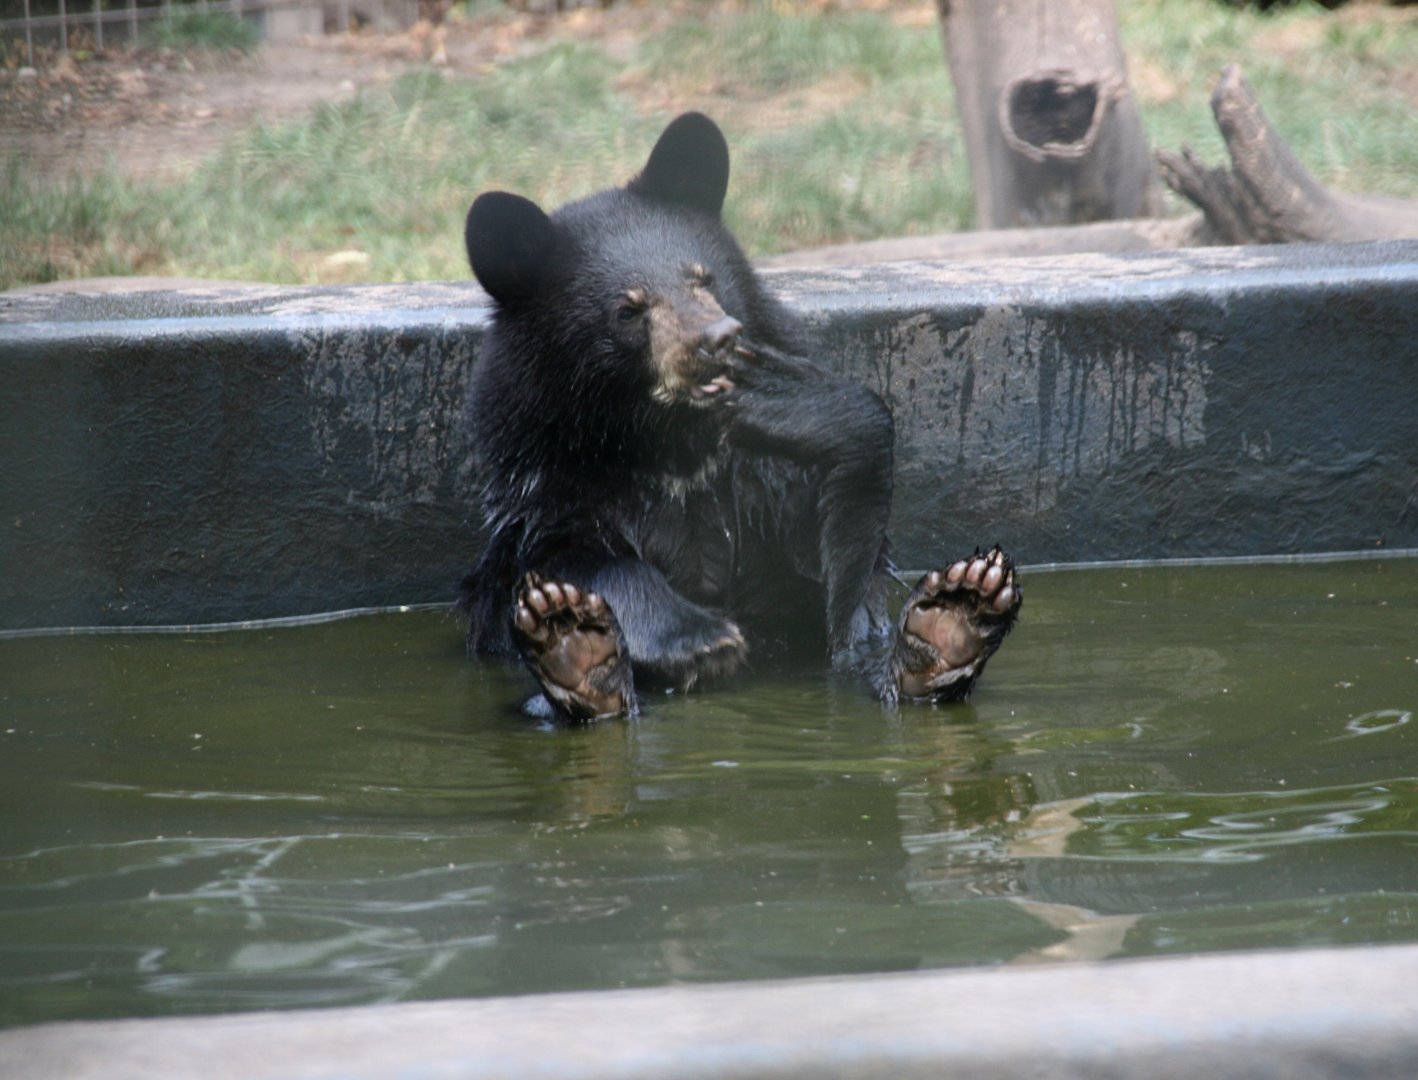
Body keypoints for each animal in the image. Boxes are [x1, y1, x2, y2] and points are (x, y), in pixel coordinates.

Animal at [459, 112, 1021, 721]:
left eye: (703, 278)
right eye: (629, 310)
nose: (716, 338)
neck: (668, 445)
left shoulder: (763, 485)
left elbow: (837, 585)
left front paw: (777, 395)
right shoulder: (549, 482)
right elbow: (568, 562)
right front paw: (691, 639)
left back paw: (952, 620)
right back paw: (579, 659)